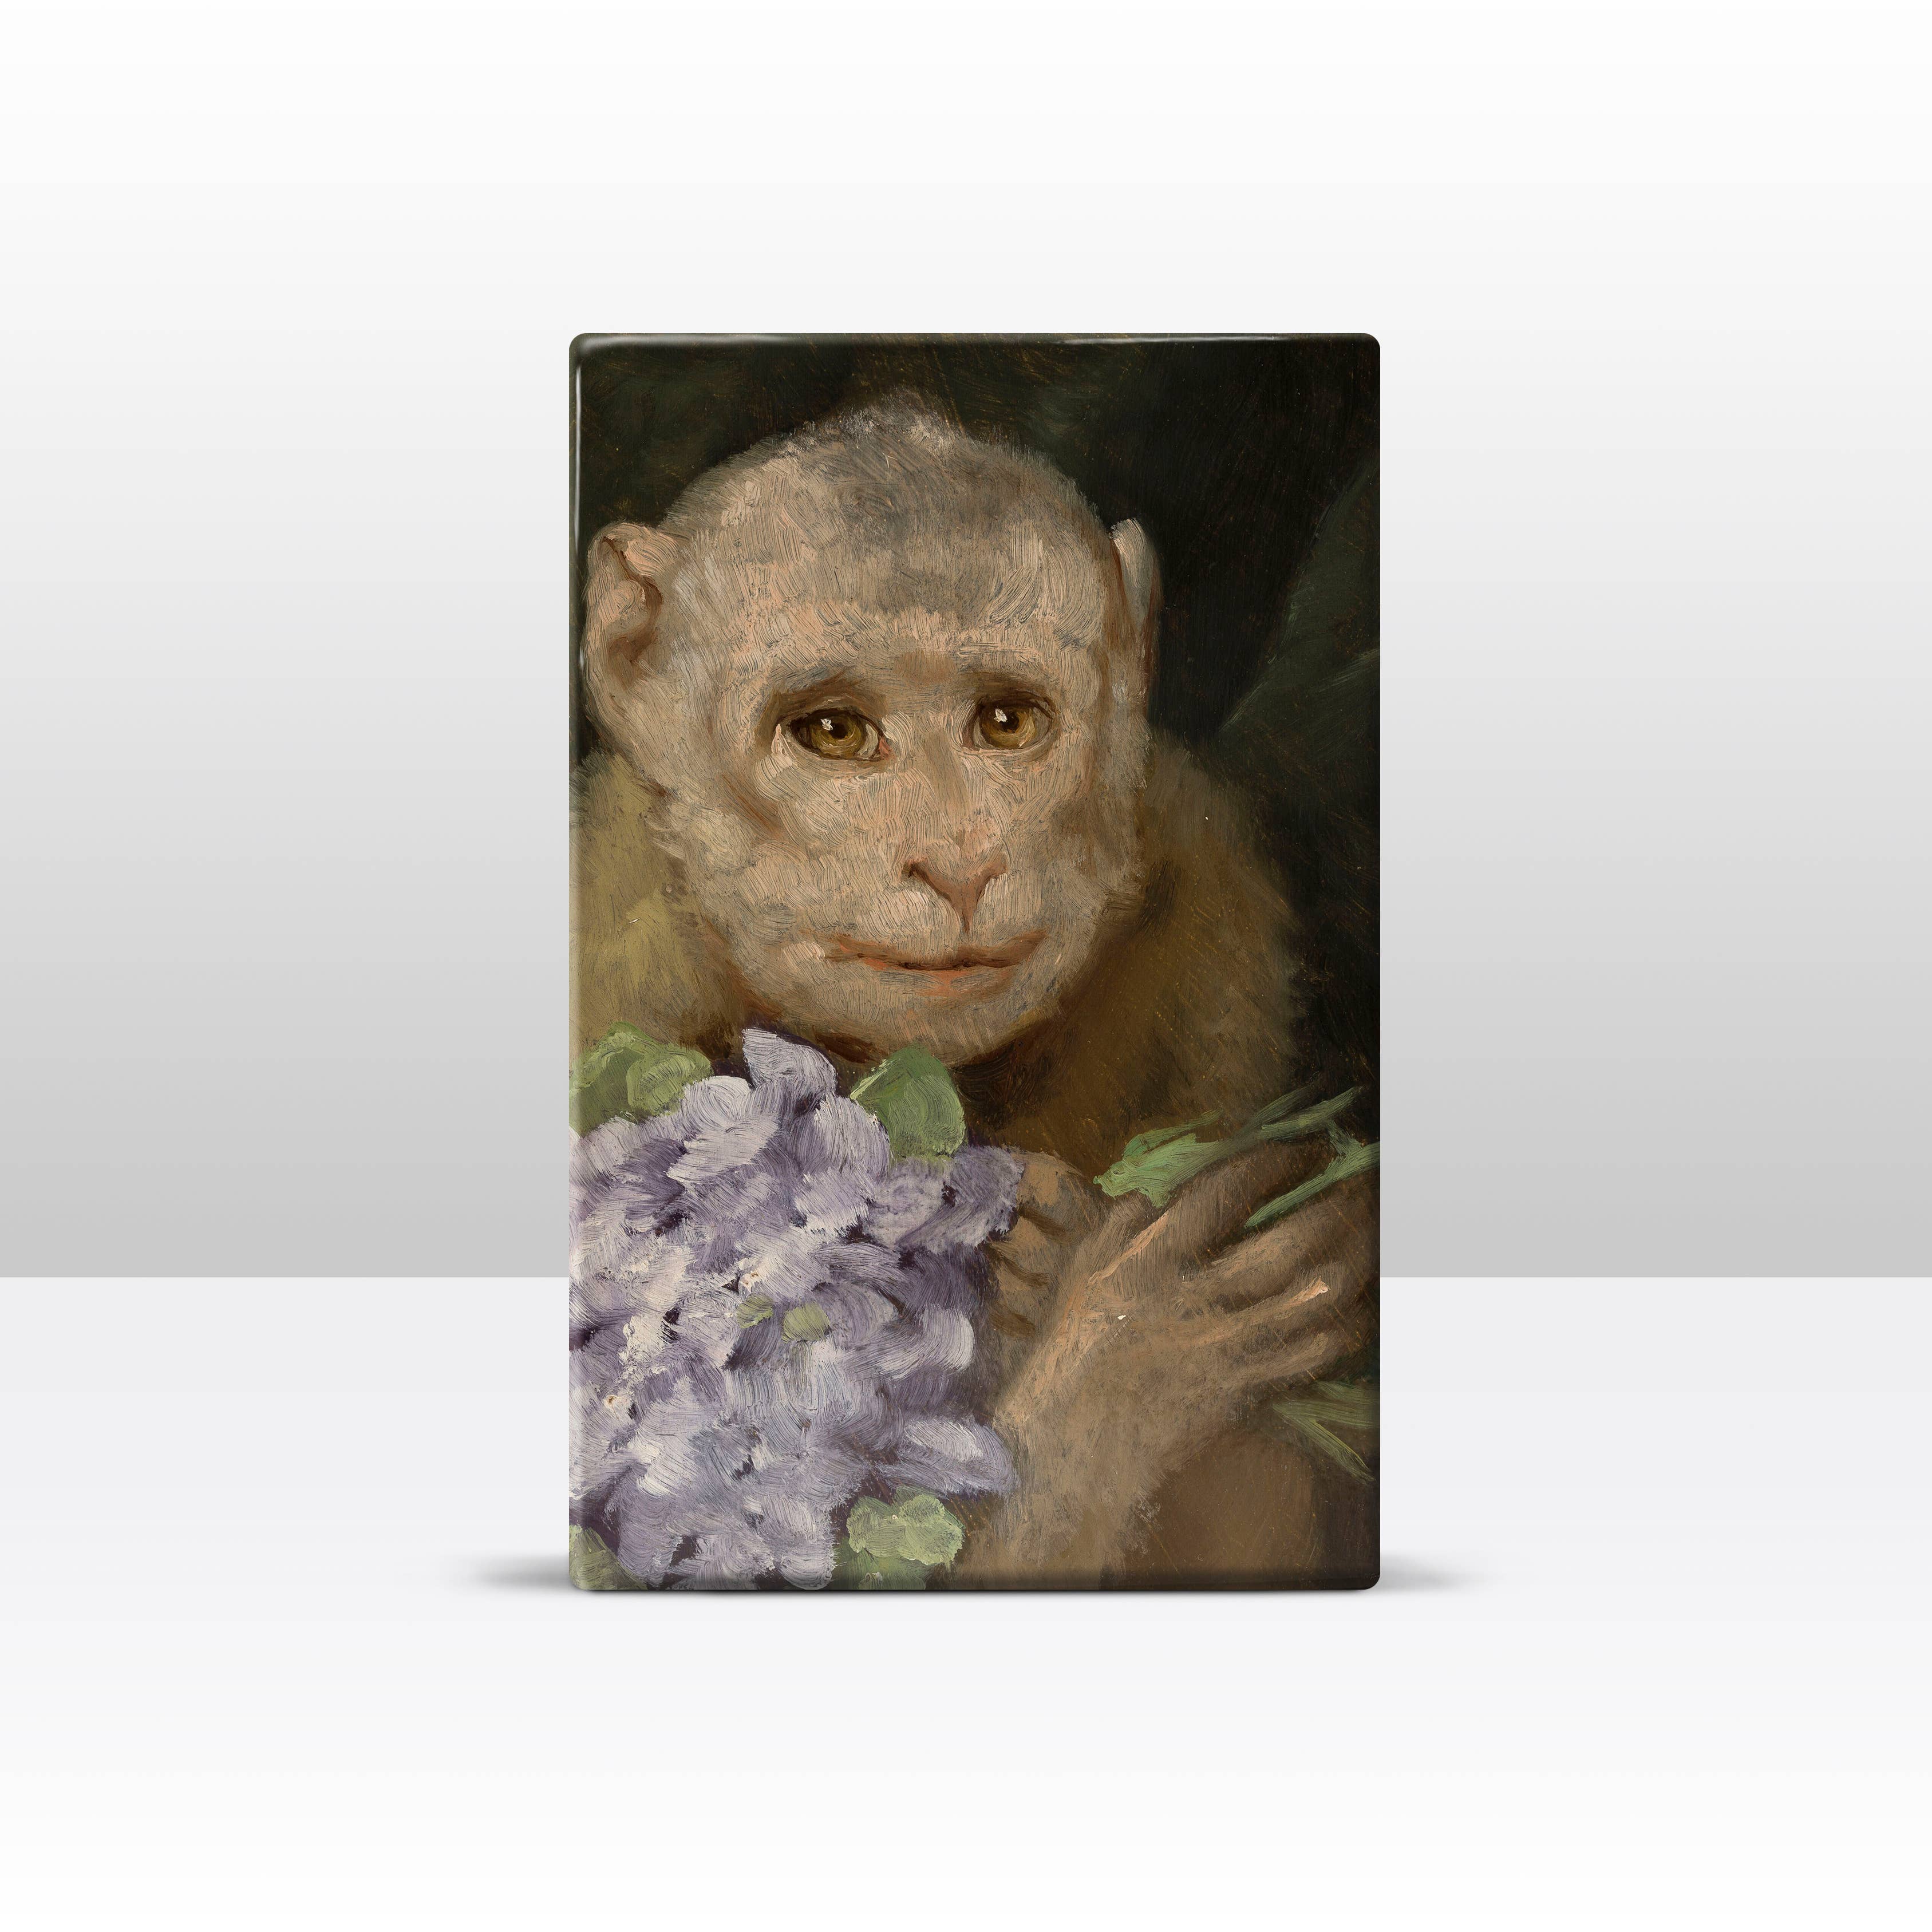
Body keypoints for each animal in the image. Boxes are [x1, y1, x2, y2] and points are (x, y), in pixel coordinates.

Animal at [574, 401, 1378, 1587]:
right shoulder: (607, 943)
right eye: (833, 733)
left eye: (1006, 723)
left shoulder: (1208, 897)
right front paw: (1123, 1350)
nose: (958, 864)